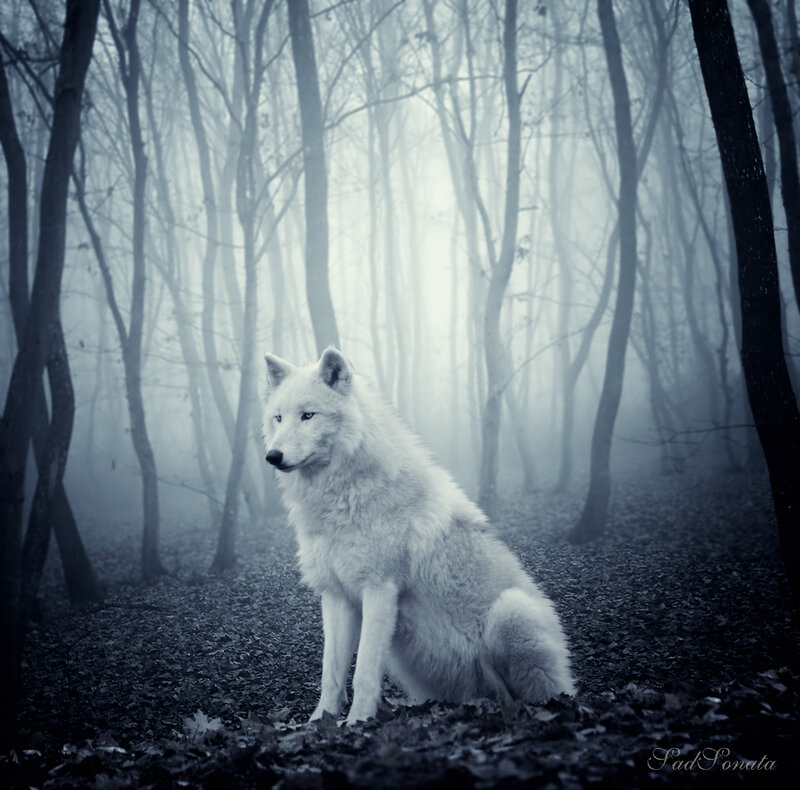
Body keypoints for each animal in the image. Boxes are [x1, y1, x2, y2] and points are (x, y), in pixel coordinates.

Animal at [262, 347, 575, 724]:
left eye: (308, 415)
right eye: (279, 418)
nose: (272, 456)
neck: (341, 497)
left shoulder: (379, 590)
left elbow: (363, 673)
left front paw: (357, 723)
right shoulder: (336, 595)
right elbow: (332, 673)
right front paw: (319, 723)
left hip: (512, 611)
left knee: (536, 696)